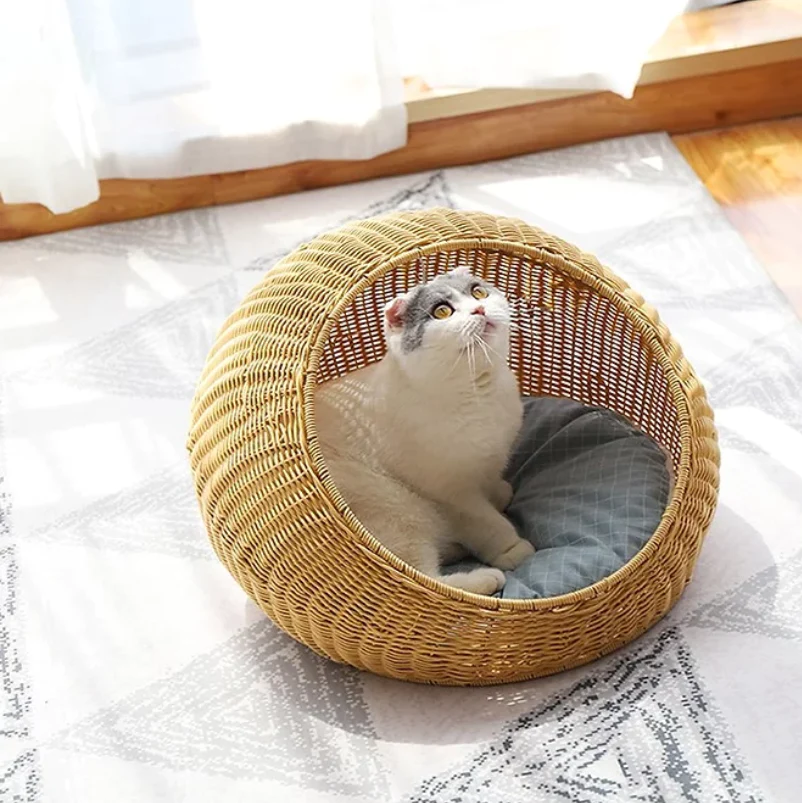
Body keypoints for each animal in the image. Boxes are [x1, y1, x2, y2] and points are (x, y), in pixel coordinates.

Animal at [314, 267, 535, 595]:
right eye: (442, 312)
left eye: (478, 292)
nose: (479, 310)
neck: (480, 394)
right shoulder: (454, 495)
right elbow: (489, 524)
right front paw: (512, 549)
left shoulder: (487, 463)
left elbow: (491, 483)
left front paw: (500, 493)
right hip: (397, 509)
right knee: (423, 579)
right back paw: (485, 578)